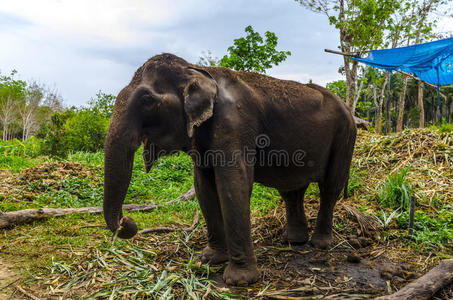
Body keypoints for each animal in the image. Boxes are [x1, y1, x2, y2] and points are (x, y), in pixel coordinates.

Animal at [103, 53, 356, 286]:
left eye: (147, 99)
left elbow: (233, 183)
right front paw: (208, 259)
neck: (197, 70)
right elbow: (203, 187)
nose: (127, 222)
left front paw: (239, 280)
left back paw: (319, 244)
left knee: (330, 187)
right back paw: (293, 242)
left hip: (345, 136)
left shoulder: (235, 122)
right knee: (292, 191)